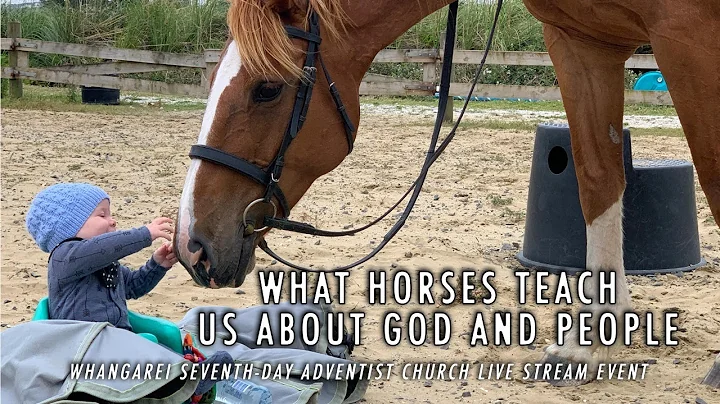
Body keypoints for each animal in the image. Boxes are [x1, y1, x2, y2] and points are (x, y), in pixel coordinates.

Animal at [172, 0, 720, 387]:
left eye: (266, 89)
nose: (191, 246)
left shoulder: (686, 33)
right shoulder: (582, 42)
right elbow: (597, 181)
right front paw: (589, 347)